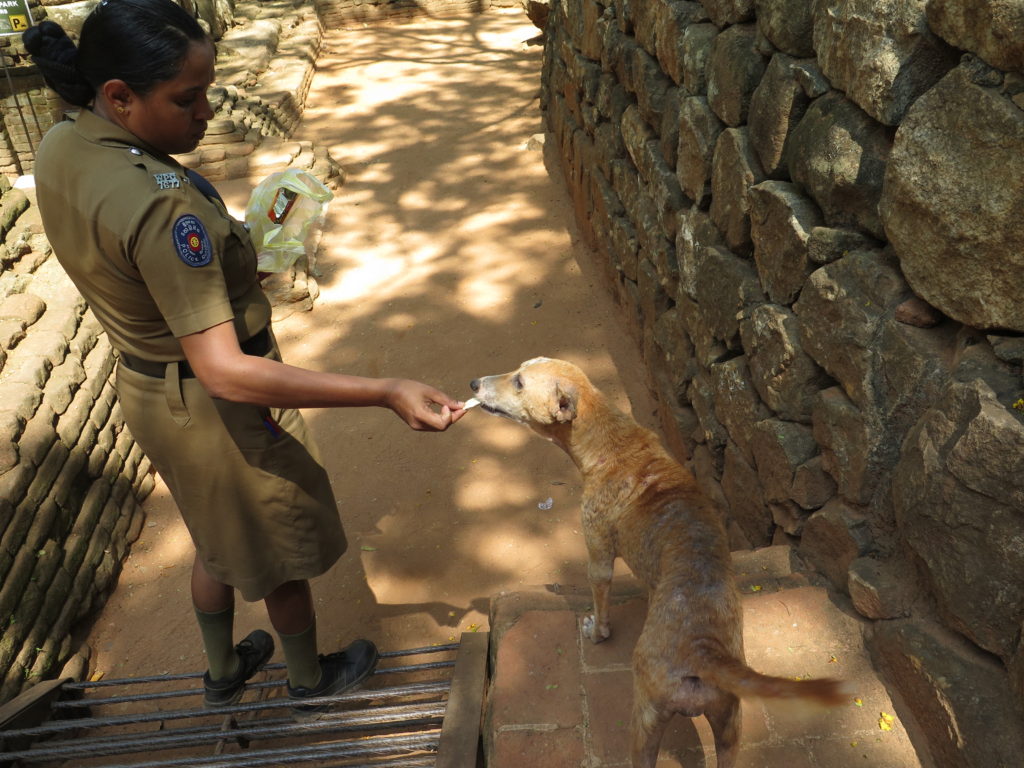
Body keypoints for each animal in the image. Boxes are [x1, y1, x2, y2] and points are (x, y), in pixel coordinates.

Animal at [471, 360, 847, 768]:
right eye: (519, 370)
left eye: (519, 382)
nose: (473, 383)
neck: (611, 441)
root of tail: (701, 647)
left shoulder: (597, 552)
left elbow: (600, 605)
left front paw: (595, 631)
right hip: (730, 725)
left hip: (645, 721)